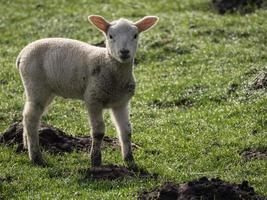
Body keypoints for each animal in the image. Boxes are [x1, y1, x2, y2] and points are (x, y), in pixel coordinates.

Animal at [16, 14, 159, 168]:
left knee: (28, 115)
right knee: (31, 118)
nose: (124, 52)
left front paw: (129, 161)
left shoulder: (121, 102)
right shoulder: (93, 98)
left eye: (135, 35)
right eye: (110, 36)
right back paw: (36, 158)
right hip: (36, 85)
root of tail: (22, 54)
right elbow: (98, 132)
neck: (108, 64)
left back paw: (26, 146)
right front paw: (95, 160)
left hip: (45, 90)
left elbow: (126, 131)